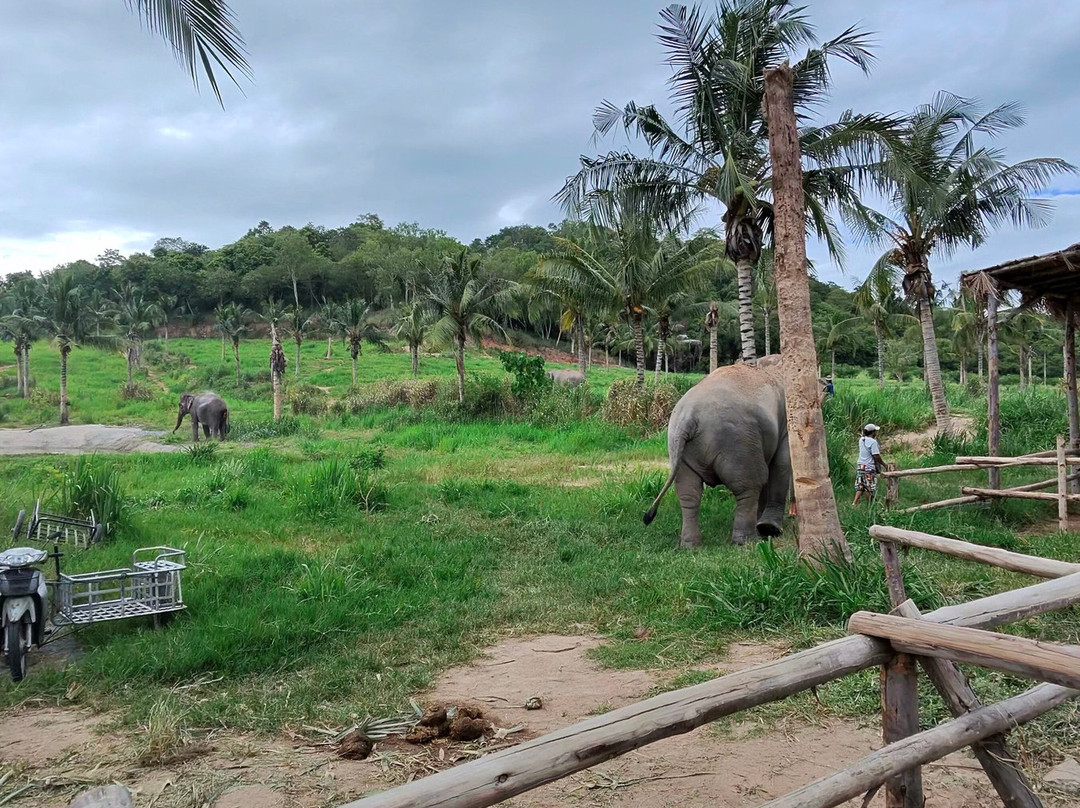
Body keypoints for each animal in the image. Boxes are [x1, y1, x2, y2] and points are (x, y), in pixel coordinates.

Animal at [643, 362, 790, 547]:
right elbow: (782, 463)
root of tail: (689, 417)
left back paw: (691, 545)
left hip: (677, 446)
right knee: (750, 485)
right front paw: (770, 529)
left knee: (688, 491)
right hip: (738, 443)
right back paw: (748, 542)